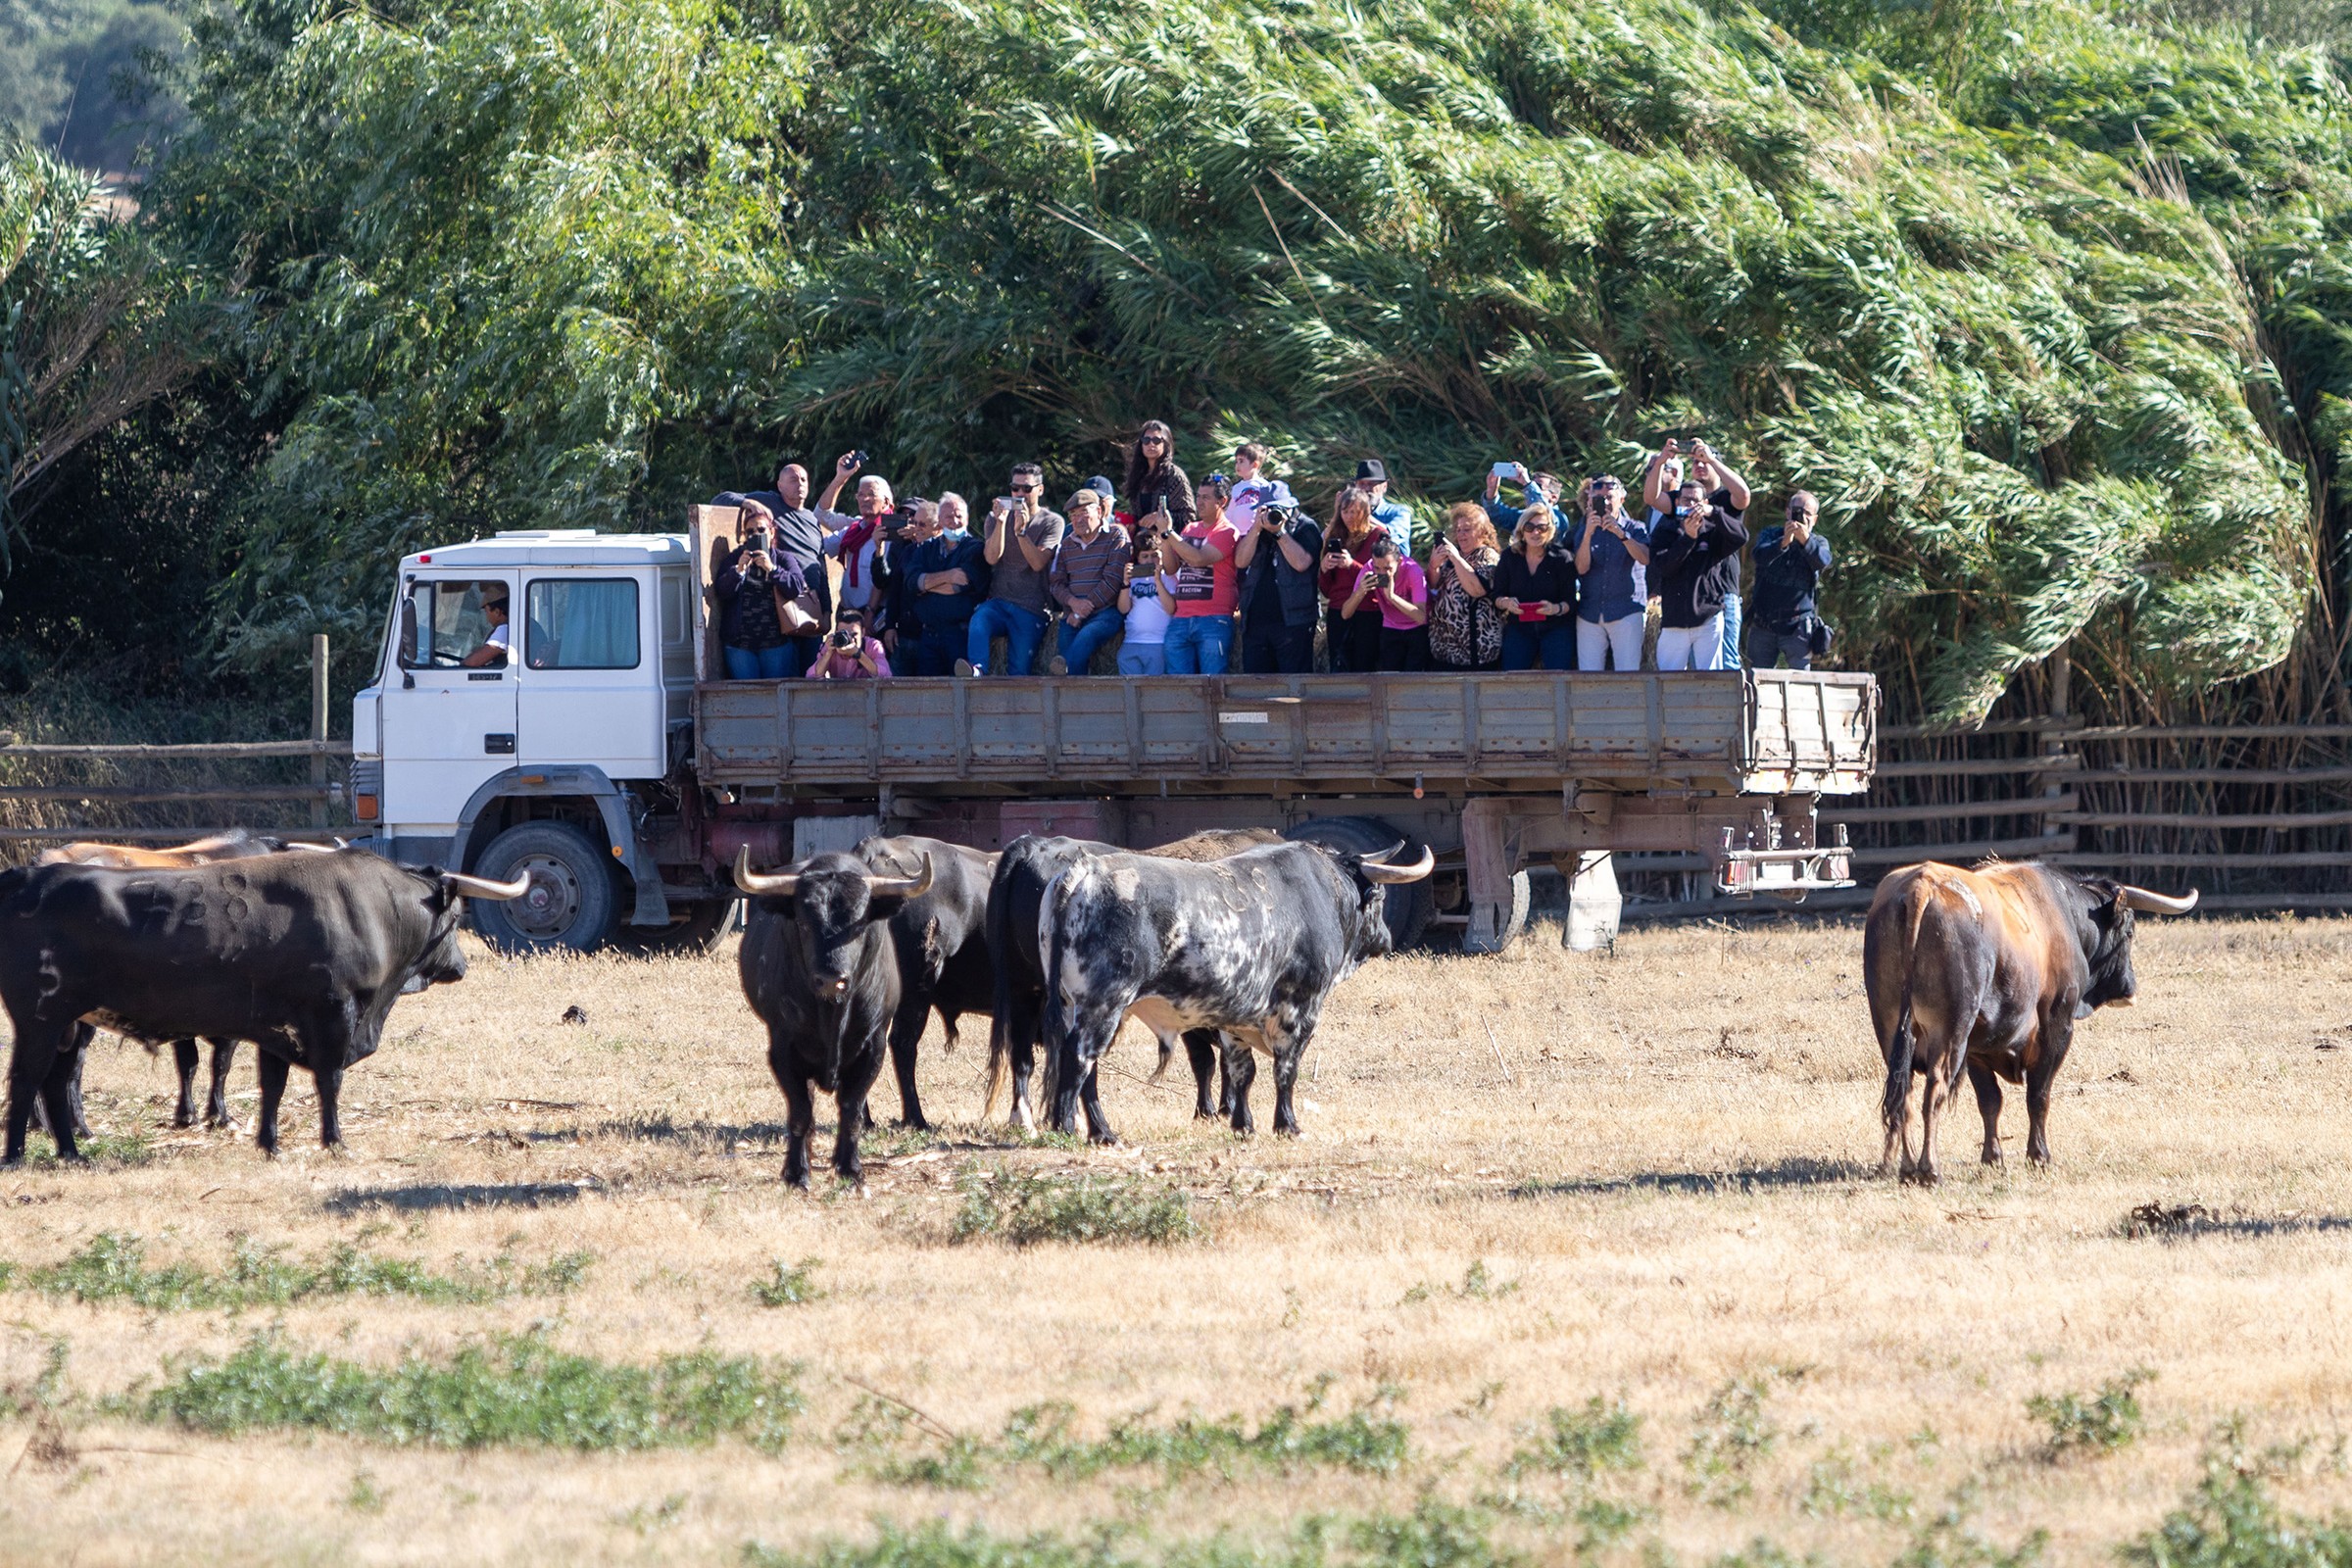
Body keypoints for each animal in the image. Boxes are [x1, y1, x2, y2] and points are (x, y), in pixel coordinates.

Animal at [0, 846, 524, 1165]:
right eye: (455, 916)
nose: (461, 966)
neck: (372, 908)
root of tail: (26, 875)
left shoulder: (277, 1028)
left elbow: (272, 1087)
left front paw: (268, 1143)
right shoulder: (333, 1016)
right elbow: (329, 1081)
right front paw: (335, 1141)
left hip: (69, 1024)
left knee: (55, 1081)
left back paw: (71, 1152)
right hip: (40, 1018)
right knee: (28, 1079)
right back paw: (17, 1155)